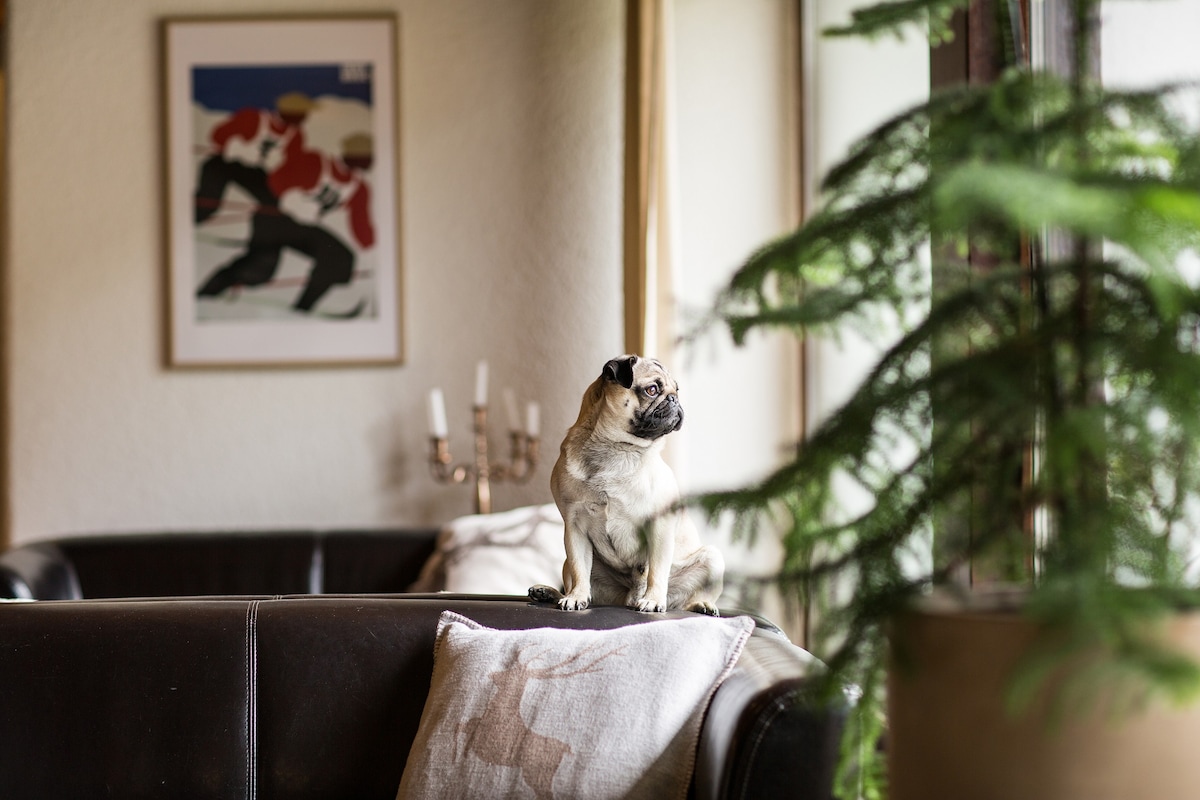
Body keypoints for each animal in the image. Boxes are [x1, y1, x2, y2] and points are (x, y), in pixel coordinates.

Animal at [532, 352, 720, 618]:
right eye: (652, 390)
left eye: (676, 390)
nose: (674, 399)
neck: (618, 450)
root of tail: (627, 598)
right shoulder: (574, 526)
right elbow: (580, 570)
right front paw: (576, 597)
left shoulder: (660, 526)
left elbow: (656, 572)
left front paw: (653, 600)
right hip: (568, 564)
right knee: (578, 580)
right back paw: (550, 593)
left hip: (713, 560)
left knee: (684, 601)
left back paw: (701, 605)